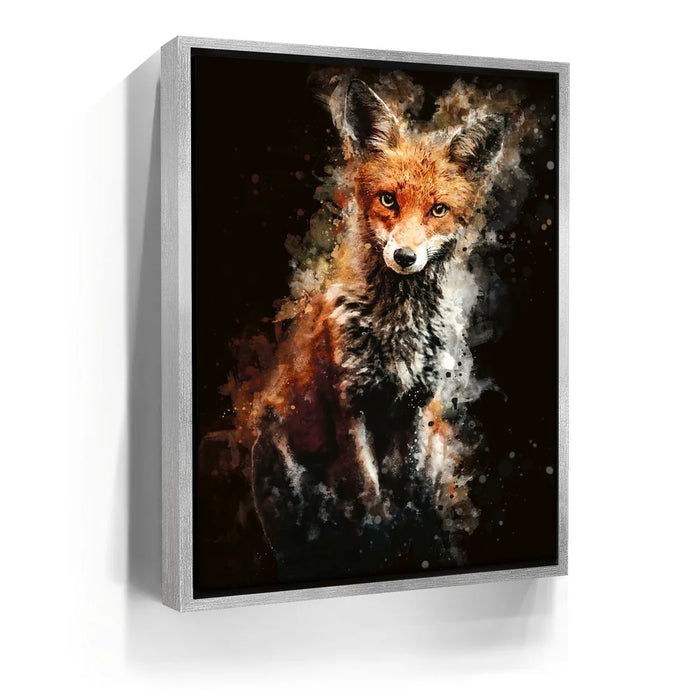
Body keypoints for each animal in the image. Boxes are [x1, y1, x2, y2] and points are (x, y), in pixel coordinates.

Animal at [250, 79, 504, 580]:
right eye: (389, 200)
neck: (397, 328)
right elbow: (371, 496)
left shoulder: (417, 405)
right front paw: (381, 543)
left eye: (438, 210)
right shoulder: (350, 406)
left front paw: (417, 540)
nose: (405, 256)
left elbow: (412, 491)